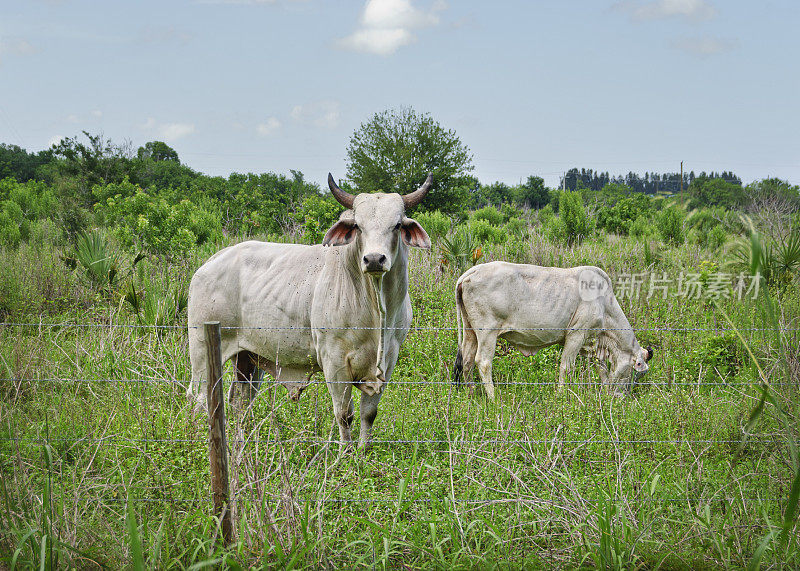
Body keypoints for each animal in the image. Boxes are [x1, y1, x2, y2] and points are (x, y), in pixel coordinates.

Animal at [187, 174, 432, 446]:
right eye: (358, 225)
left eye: (397, 225)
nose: (374, 259)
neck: (376, 311)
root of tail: (212, 261)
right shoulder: (334, 361)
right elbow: (344, 414)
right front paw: (346, 454)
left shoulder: (388, 361)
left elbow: (369, 414)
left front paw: (363, 452)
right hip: (201, 351)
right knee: (199, 397)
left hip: (247, 358)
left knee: (240, 400)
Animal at [450, 262, 648, 400]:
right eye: (634, 371)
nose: (621, 397)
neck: (604, 303)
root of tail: (470, 272)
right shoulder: (576, 335)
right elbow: (566, 367)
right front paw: (560, 395)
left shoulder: (591, 343)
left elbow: (602, 371)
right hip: (487, 332)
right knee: (483, 362)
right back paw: (493, 398)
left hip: (470, 331)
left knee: (467, 360)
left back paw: (471, 394)